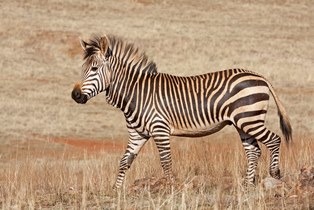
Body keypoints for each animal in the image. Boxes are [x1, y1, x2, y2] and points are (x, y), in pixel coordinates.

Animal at [71, 34, 292, 189]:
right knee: (253, 151)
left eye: (94, 69)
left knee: (274, 139)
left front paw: (170, 189)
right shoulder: (137, 133)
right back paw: (247, 184)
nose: (75, 95)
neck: (137, 93)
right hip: (242, 122)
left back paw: (275, 174)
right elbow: (125, 161)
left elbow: (166, 161)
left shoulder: (160, 129)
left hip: (249, 119)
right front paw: (117, 190)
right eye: (82, 69)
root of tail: (259, 76)